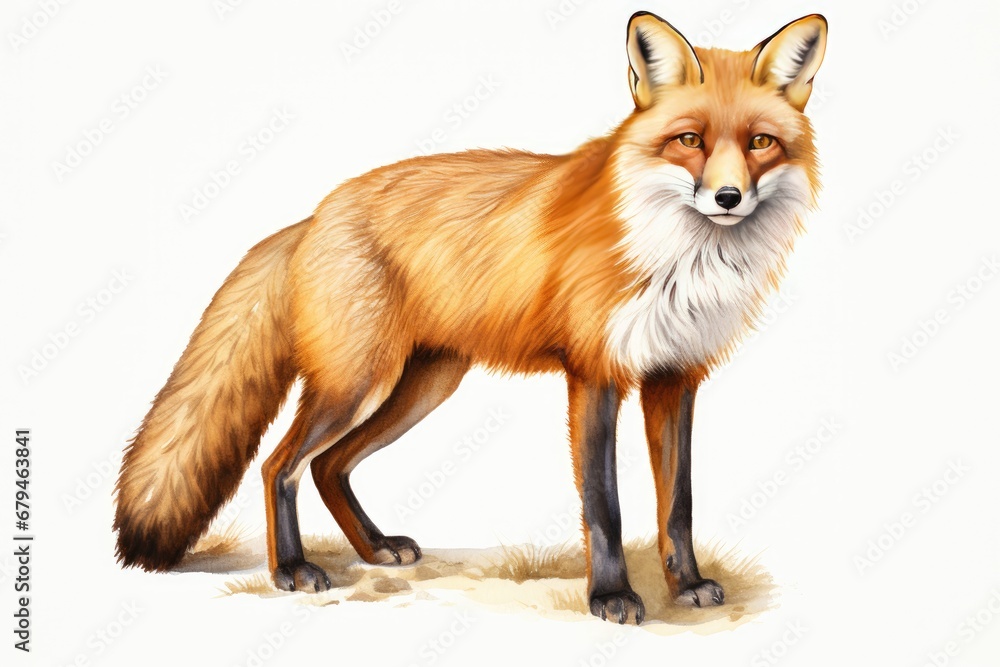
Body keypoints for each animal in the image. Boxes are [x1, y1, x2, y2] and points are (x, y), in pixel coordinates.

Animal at [114, 11, 827, 624]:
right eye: (689, 141)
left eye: (760, 143)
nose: (728, 197)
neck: (679, 261)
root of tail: (314, 215)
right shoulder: (594, 375)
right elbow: (606, 508)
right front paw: (611, 597)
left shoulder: (674, 377)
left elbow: (677, 505)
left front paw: (687, 584)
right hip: (358, 386)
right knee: (279, 465)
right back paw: (291, 568)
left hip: (420, 389)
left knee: (327, 465)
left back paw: (375, 548)